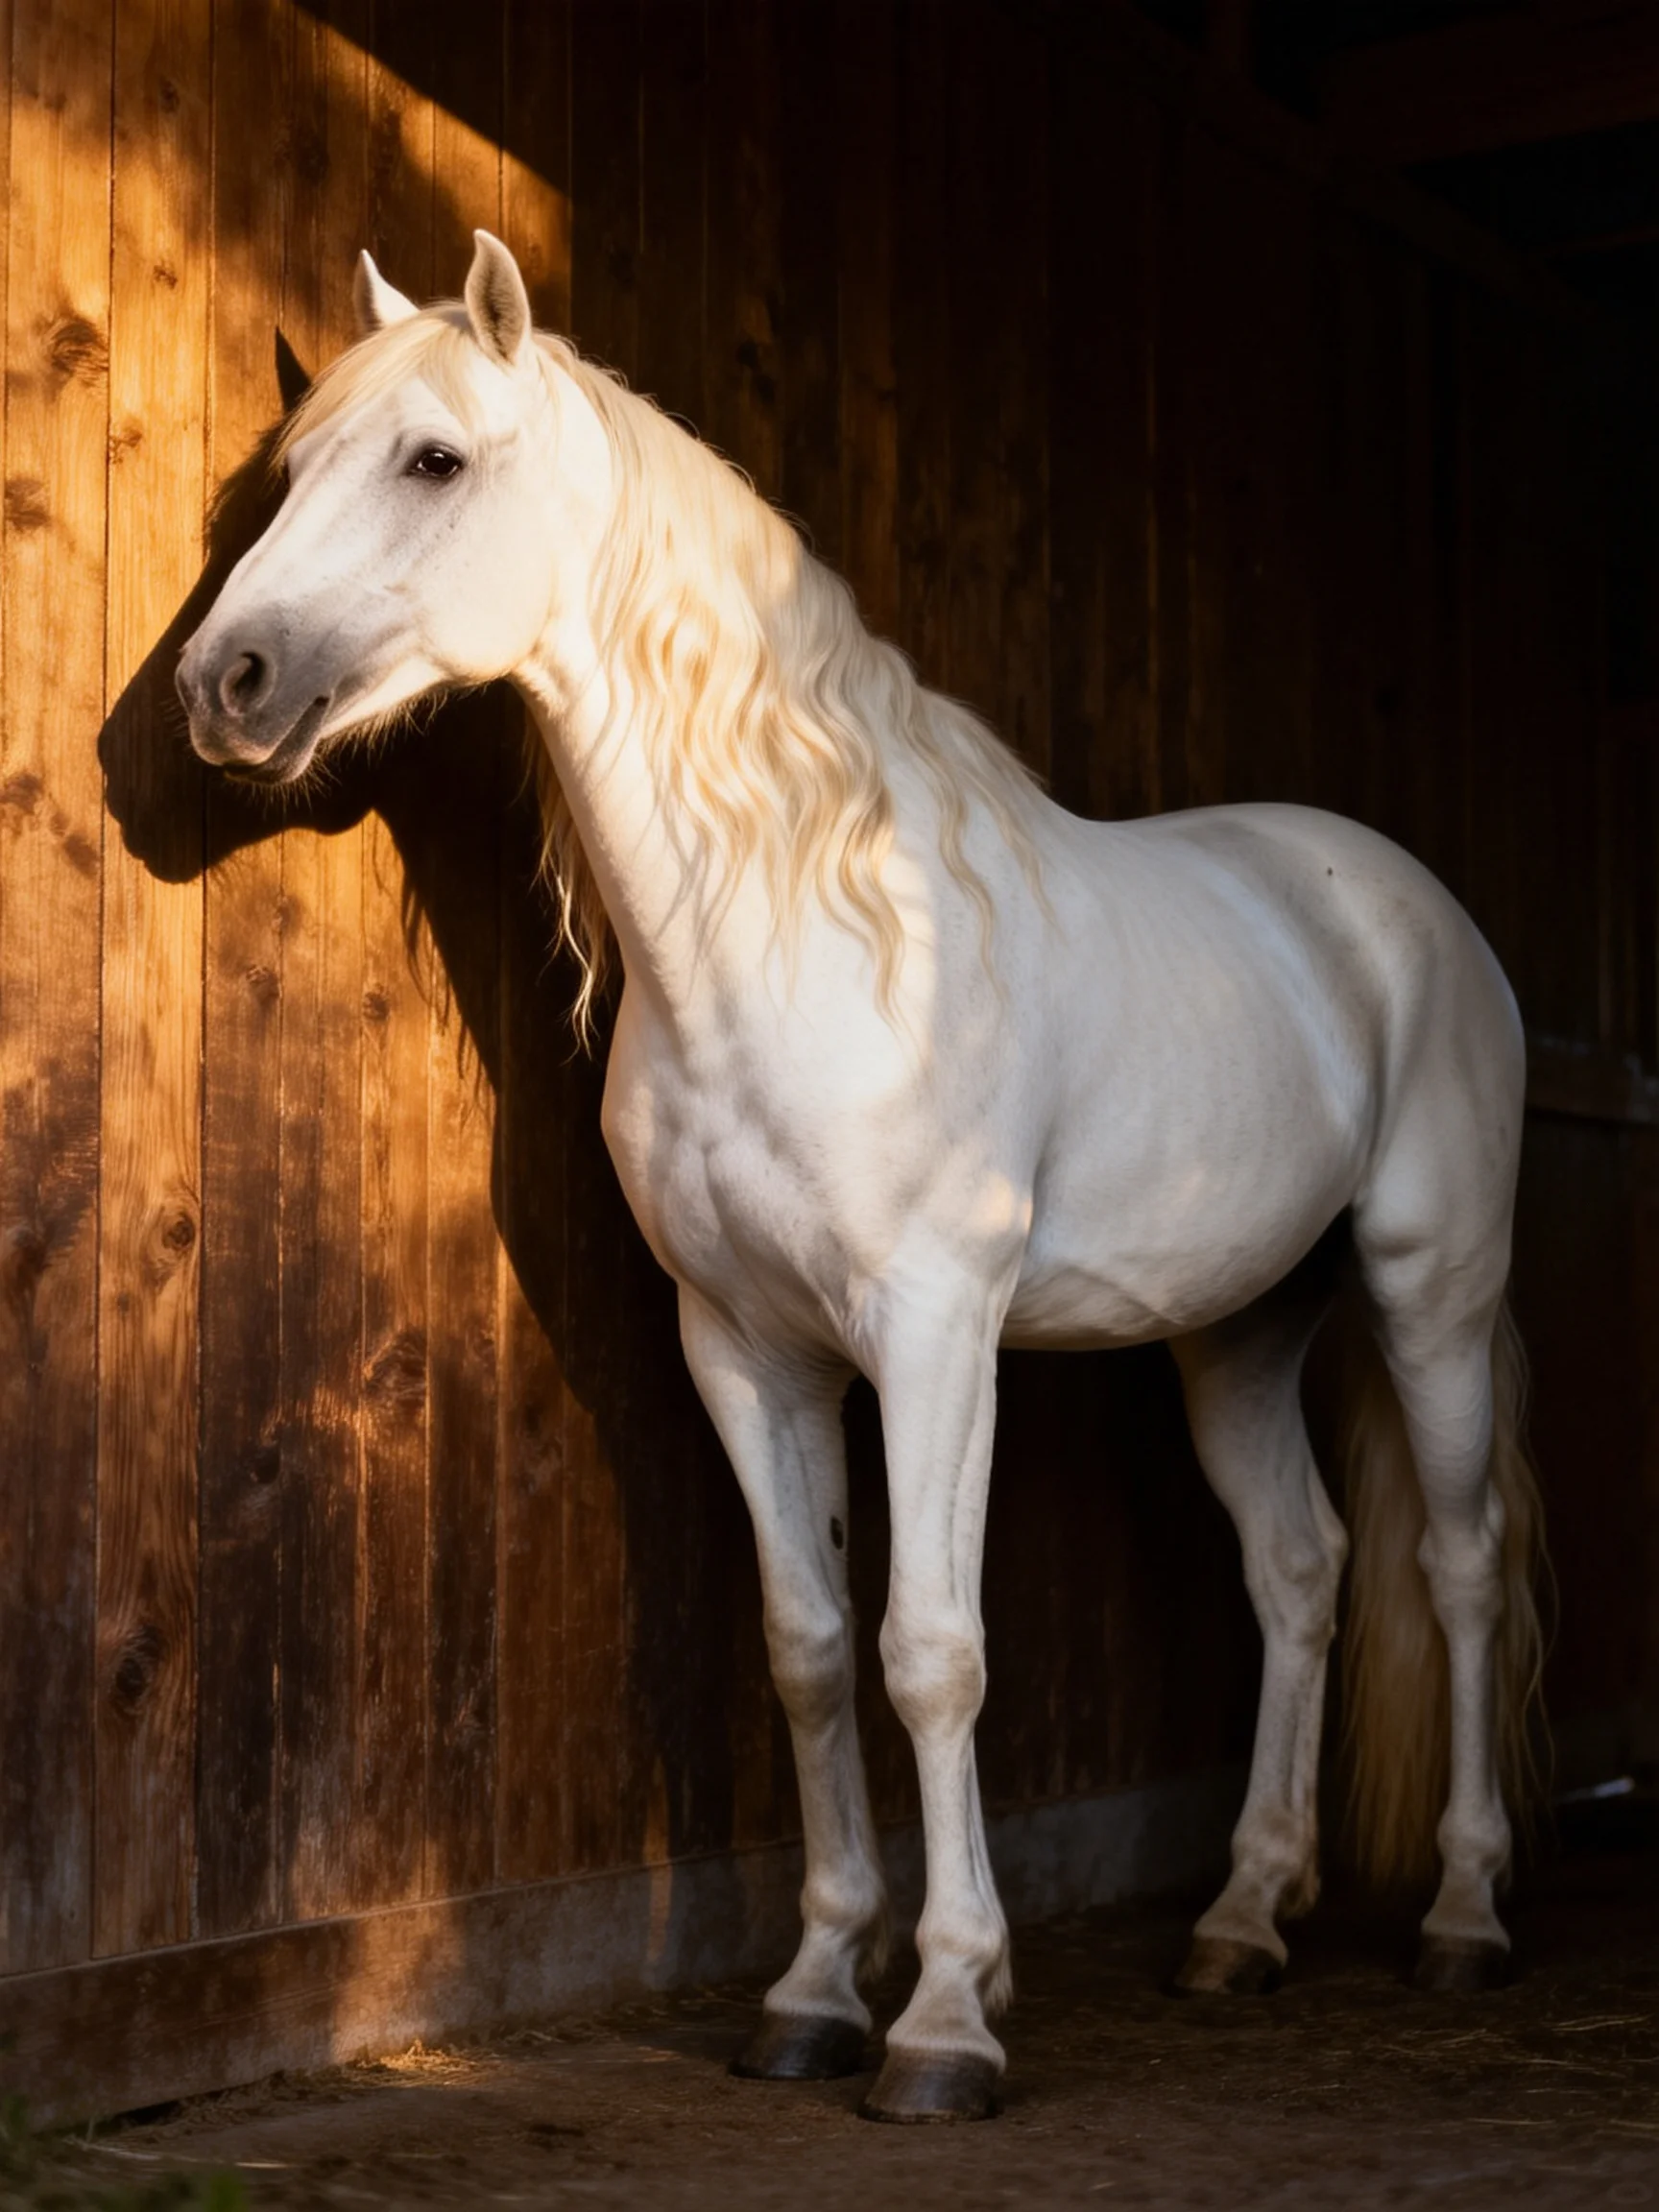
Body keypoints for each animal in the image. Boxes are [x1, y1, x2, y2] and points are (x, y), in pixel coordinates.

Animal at [176, 231, 1545, 2125]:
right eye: (294, 468)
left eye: (433, 460)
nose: (220, 685)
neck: (797, 936)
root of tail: (1408, 904)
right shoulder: (746, 1350)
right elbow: (813, 1649)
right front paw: (817, 1990)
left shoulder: (934, 1334)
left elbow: (931, 1651)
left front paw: (948, 2018)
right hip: (1237, 1331)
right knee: (1300, 1568)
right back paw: (1239, 1921)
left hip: (1432, 1292)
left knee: (1458, 1565)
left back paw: (1468, 1917)